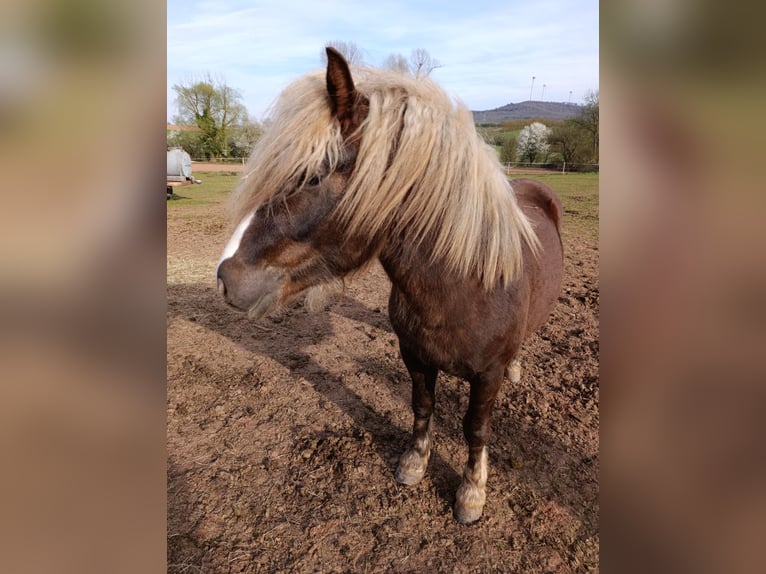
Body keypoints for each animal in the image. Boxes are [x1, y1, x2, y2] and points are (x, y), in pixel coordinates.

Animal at [216, 47, 564, 524]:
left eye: (314, 175)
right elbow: (422, 407)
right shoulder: (413, 356)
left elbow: (475, 428)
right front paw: (414, 463)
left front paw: (472, 492)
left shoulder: (486, 376)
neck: (465, 290)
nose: (226, 278)